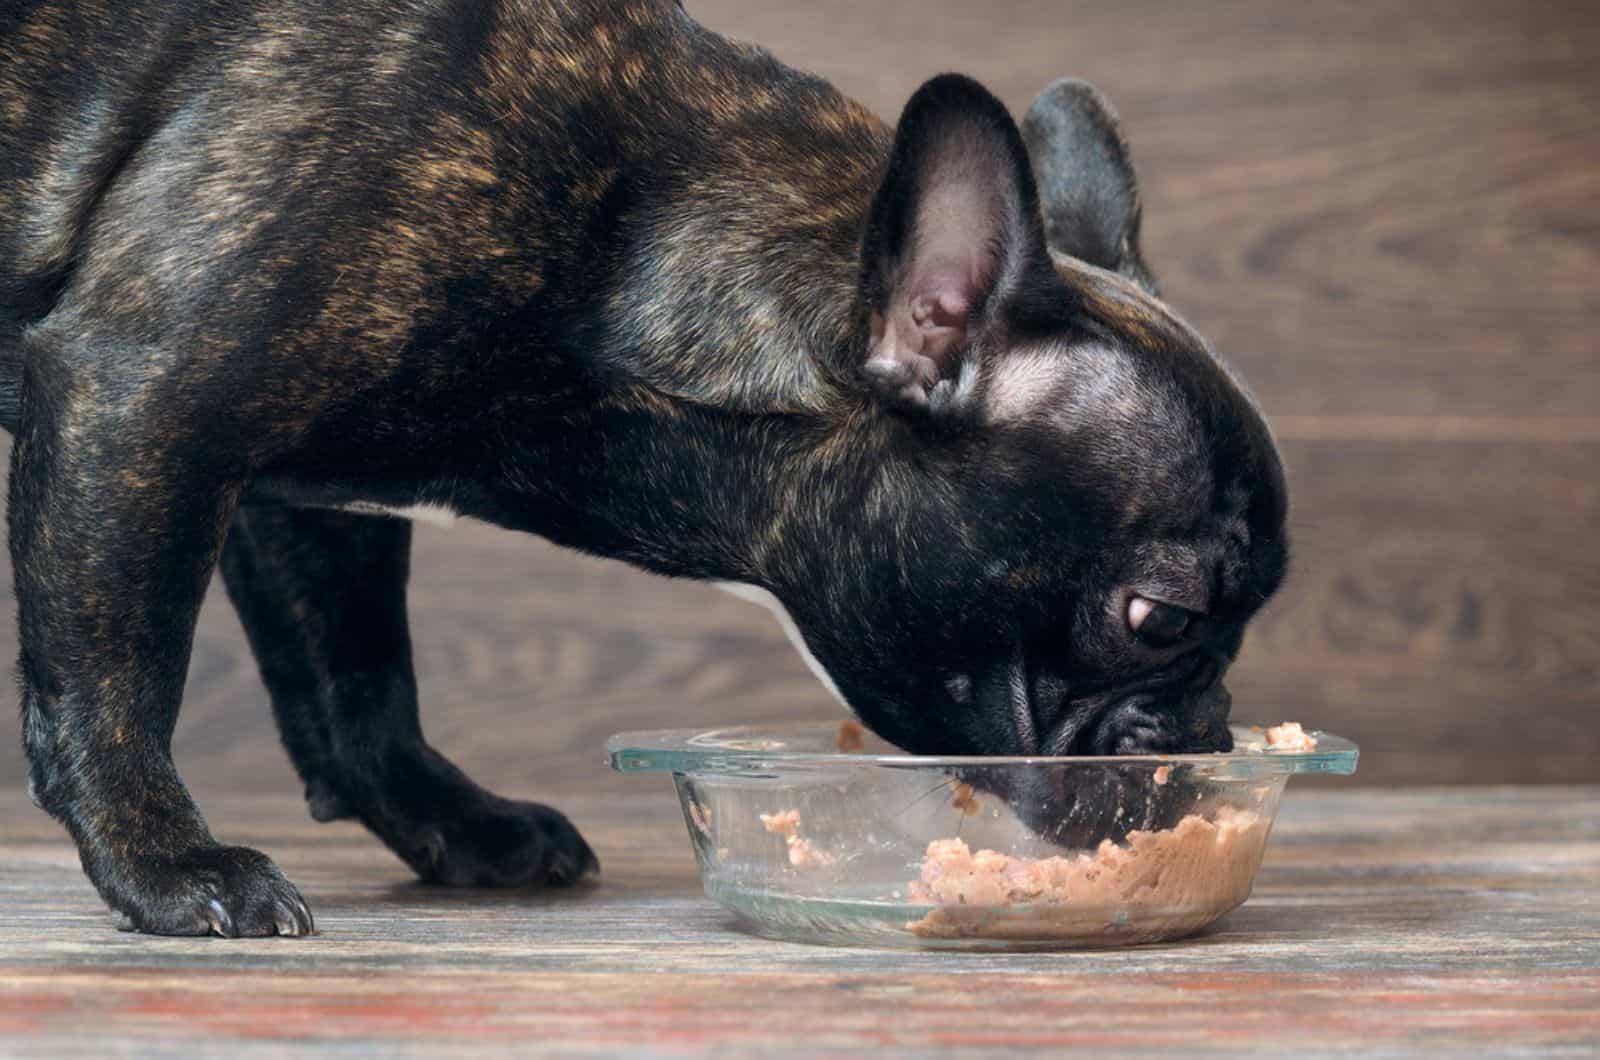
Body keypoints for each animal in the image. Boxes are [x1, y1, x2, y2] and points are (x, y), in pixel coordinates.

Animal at [0, 0, 1280, 941]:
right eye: (1159, 618)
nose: (1208, 729)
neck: (621, 247)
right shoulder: (144, 396)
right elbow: (118, 670)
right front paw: (167, 862)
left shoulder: (300, 492)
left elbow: (357, 677)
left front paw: (448, 816)